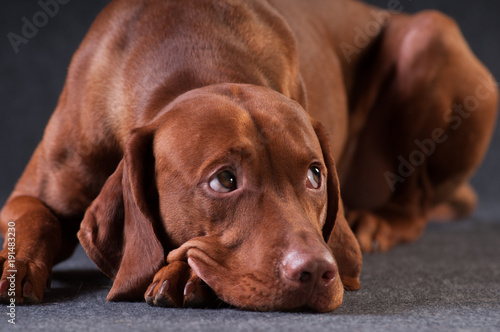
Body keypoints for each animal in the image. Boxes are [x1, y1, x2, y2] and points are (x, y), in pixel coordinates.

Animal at [0, 0, 496, 312]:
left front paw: (183, 274)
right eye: (224, 180)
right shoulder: (34, 191)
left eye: (315, 175)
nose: (318, 271)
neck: (191, 52)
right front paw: (14, 263)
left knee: (414, 200)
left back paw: (380, 221)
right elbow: (32, 217)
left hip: (430, 34)